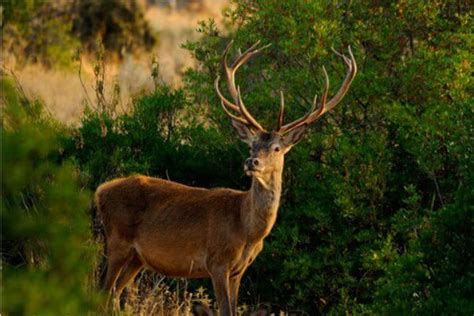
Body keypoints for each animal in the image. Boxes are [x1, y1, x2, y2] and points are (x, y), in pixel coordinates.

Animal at [96, 40, 356, 314]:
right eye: (252, 145)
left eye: (276, 148)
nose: (252, 162)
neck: (247, 228)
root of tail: (100, 190)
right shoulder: (217, 261)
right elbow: (225, 310)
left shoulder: (238, 271)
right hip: (117, 242)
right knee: (102, 290)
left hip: (137, 257)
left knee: (114, 293)